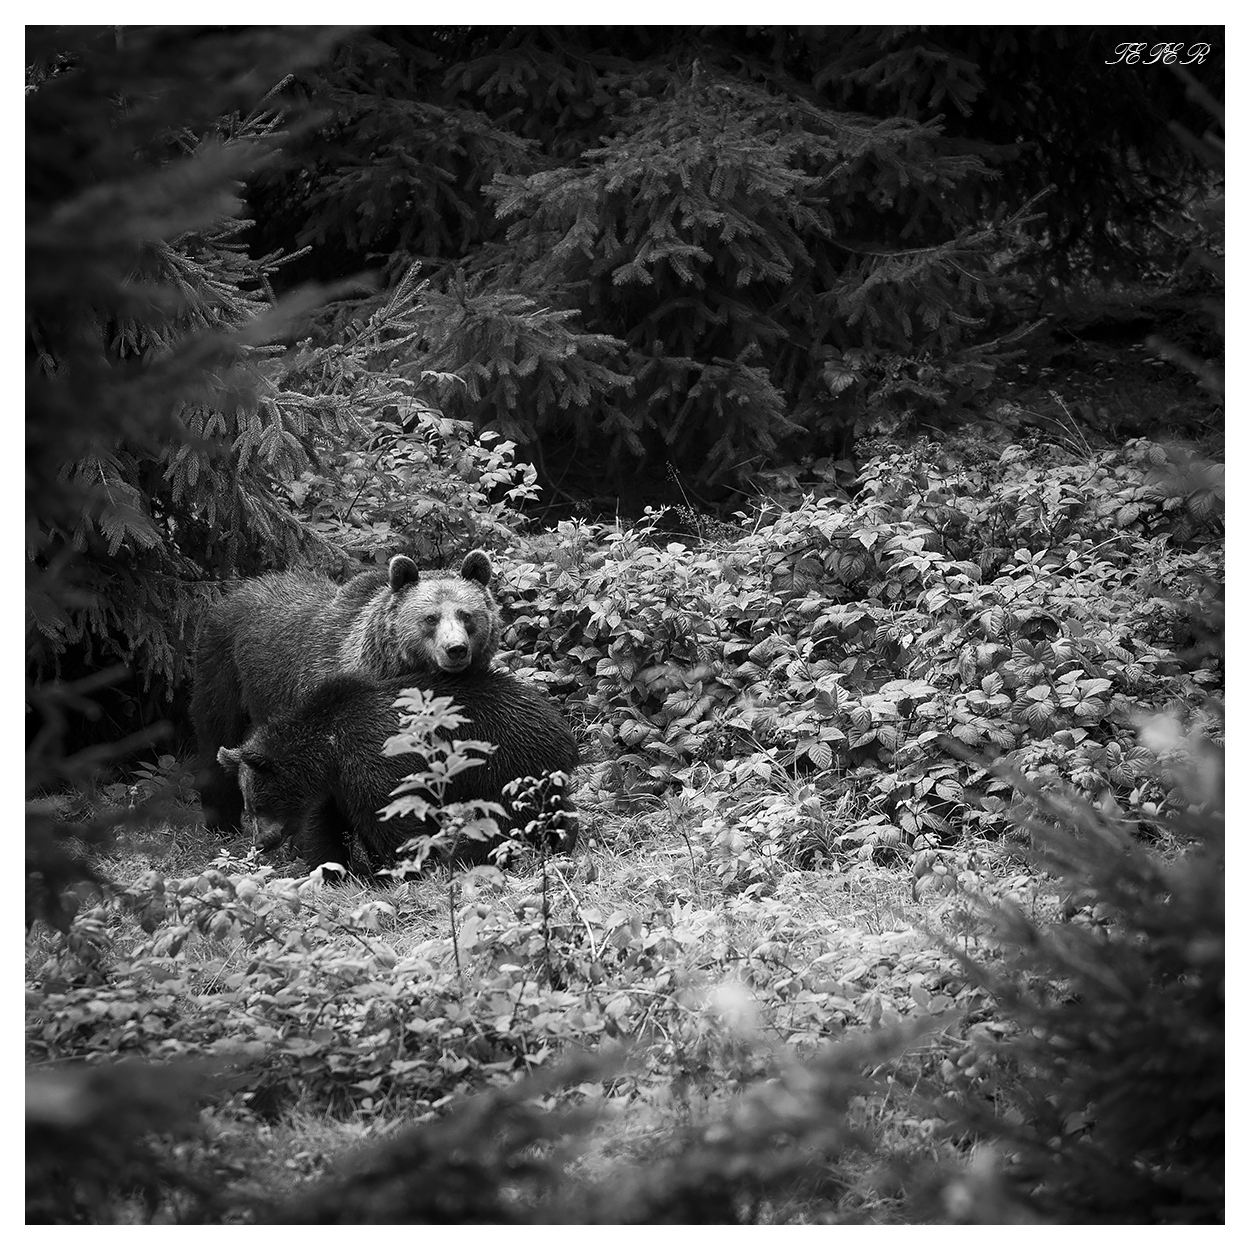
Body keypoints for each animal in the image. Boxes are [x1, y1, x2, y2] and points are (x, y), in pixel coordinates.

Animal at [191, 550, 501, 833]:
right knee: (216, 732)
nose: (456, 649)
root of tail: (242, 587)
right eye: (430, 618)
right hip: (223, 664)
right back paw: (222, 823)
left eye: (466, 614)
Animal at [215, 668, 579, 876]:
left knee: (515, 816)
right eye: (249, 807)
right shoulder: (339, 787)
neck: (329, 750)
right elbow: (336, 825)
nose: (262, 842)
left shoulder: (372, 760)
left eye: (259, 804)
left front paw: (410, 867)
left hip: (509, 761)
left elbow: (394, 820)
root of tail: (562, 724)